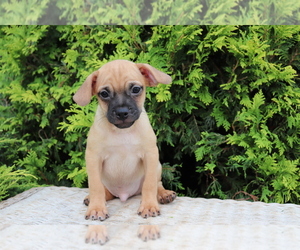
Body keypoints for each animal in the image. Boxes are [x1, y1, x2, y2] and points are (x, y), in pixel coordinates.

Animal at [73, 59, 176, 220]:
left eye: (136, 89)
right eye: (104, 93)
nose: (122, 112)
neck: (122, 132)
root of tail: (124, 194)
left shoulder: (150, 155)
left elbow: (150, 184)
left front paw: (148, 206)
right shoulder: (93, 158)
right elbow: (95, 186)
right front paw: (96, 208)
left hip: (158, 167)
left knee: (157, 183)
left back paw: (164, 194)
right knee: (105, 191)